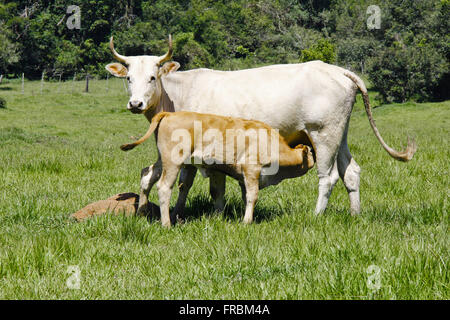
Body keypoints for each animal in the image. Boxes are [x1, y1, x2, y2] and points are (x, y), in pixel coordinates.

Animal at [121, 111, 314, 226]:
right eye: (311, 153)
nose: (314, 156)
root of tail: (170, 114)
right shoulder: (251, 169)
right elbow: (252, 196)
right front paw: (247, 221)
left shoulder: (239, 176)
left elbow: (237, 196)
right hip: (173, 162)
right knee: (163, 187)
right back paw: (167, 223)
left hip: (163, 160)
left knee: (147, 176)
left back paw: (142, 212)